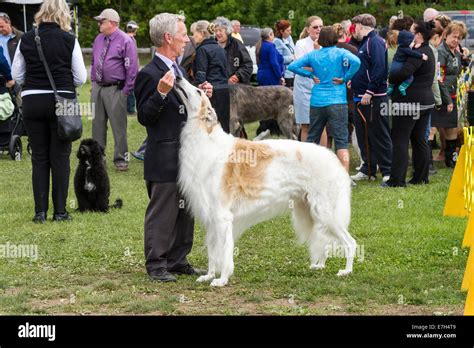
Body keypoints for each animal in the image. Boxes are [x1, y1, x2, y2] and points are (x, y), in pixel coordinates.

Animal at [174, 77, 356, 286]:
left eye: (198, 91)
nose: (177, 77)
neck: (206, 135)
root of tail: (334, 159)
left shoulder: (222, 215)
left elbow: (224, 253)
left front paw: (222, 279)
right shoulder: (211, 217)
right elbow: (213, 253)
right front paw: (209, 275)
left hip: (326, 212)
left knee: (351, 243)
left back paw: (347, 270)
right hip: (311, 210)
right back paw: (319, 265)